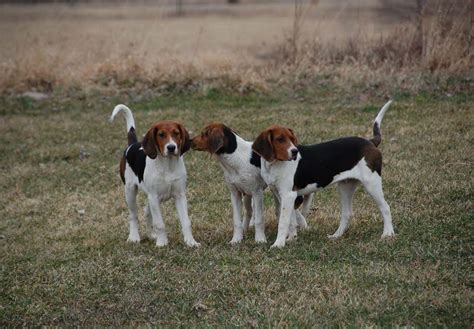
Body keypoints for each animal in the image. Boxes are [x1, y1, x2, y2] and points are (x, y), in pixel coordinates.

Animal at [110, 104, 199, 246]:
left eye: (176, 133)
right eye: (161, 135)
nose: (171, 147)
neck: (168, 165)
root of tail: (132, 144)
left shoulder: (179, 196)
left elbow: (186, 222)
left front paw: (191, 242)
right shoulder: (154, 196)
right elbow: (160, 223)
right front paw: (162, 243)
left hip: (151, 199)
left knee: (147, 213)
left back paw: (152, 235)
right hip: (130, 192)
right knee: (133, 215)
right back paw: (134, 237)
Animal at [254, 101, 394, 247]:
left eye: (292, 139)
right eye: (280, 139)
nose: (294, 152)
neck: (274, 164)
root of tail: (370, 142)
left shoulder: (288, 195)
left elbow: (283, 222)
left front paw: (278, 244)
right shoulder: (282, 195)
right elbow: (291, 220)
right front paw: (291, 239)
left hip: (371, 183)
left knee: (385, 207)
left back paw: (388, 234)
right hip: (345, 187)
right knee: (347, 214)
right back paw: (336, 236)